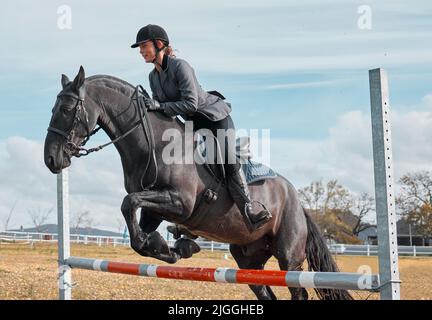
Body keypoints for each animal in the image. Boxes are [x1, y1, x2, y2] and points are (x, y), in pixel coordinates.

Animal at [44, 67, 352, 300]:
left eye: (67, 108)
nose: (51, 159)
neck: (155, 143)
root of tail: (299, 203)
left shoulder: (180, 203)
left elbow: (127, 203)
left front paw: (175, 245)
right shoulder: (154, 209)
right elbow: (136, 232)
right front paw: (174, 247)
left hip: (289, 255)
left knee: (297, 289)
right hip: (248, 256)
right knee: (263, 288)